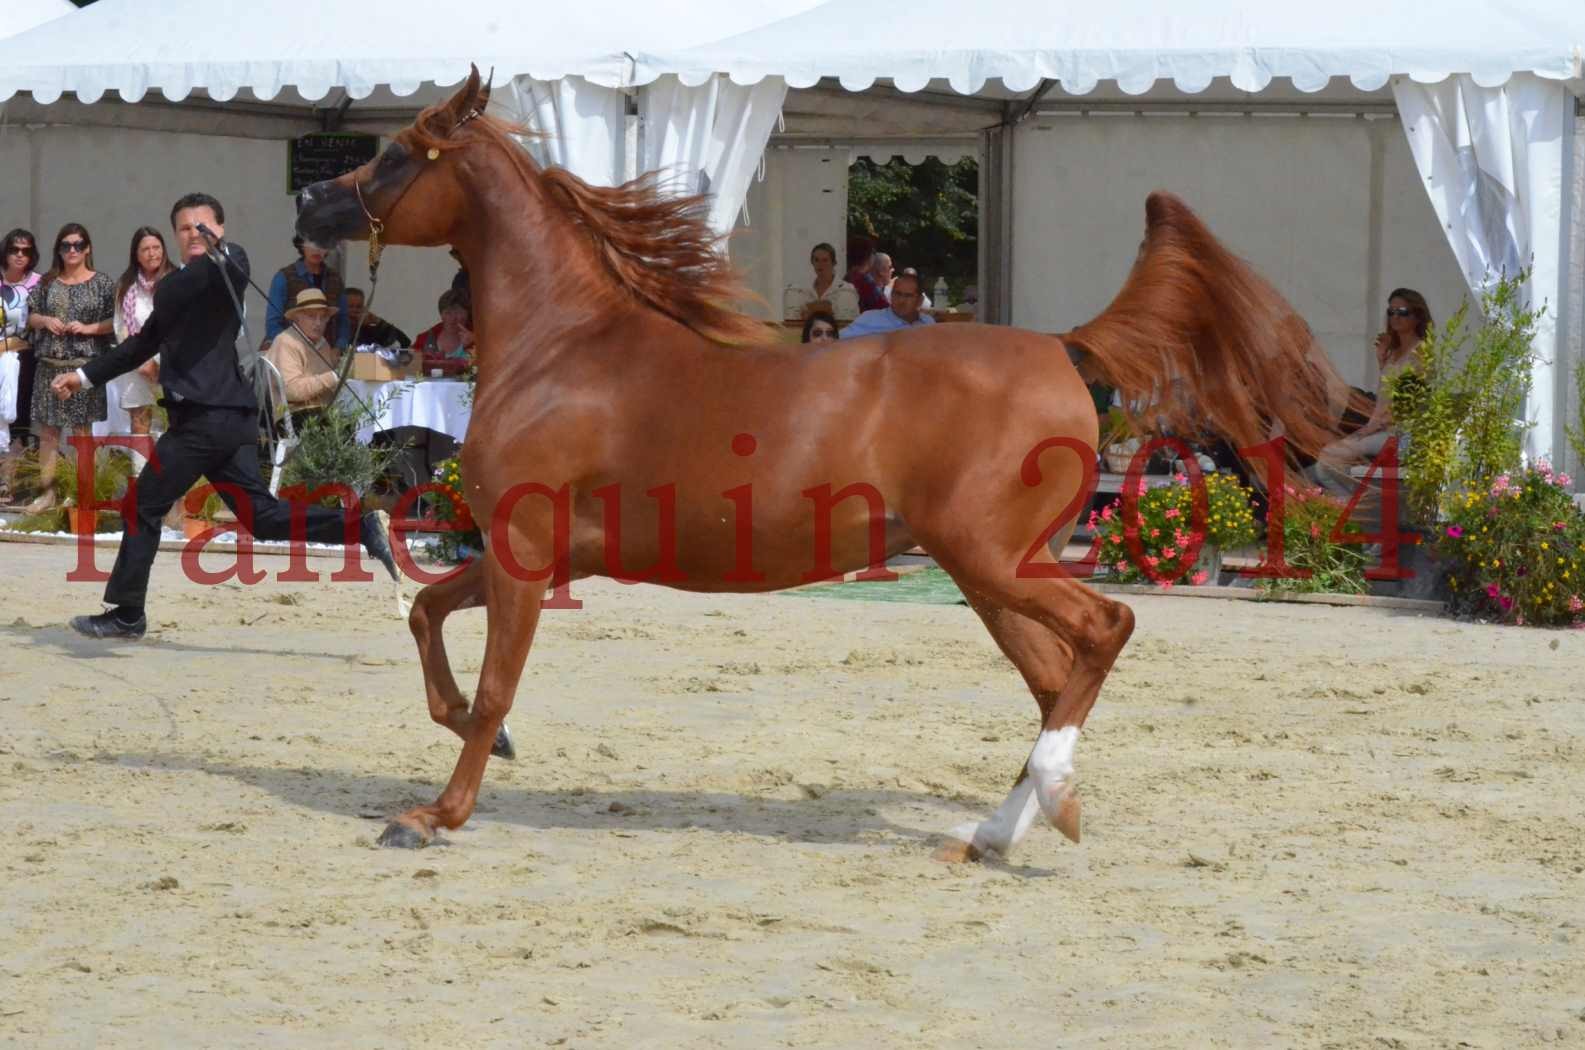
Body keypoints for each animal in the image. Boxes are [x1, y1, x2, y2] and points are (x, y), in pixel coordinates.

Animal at [297, 65, 1350, 862]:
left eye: (399, 153)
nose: (308, 199)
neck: (564, 351)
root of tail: (1063, 348)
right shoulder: (540, 553)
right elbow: (428, 615)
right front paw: (480, 747)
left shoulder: (522, 547)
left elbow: (491, 685)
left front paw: (433, 815)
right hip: (986, 573)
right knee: (1056, 673)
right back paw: (998, 831)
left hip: (991, 558)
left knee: (1105, 628)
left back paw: (1046, 799)